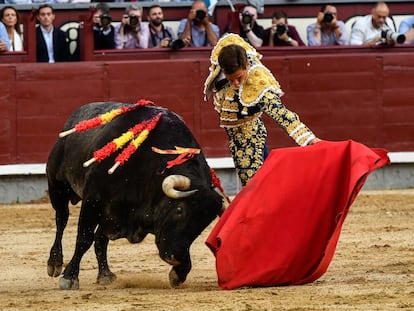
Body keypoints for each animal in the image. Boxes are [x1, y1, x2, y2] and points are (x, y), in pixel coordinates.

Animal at [47, 102, 225, 290]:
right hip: (57, 187)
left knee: (100, 238)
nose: (174, 257)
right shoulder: (93, 200)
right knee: (62, 220)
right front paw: (69, 277)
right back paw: (55, 263)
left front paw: (179, 273)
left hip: (108, 215)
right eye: (179, 210)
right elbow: (84, 238)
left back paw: (105, 274)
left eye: (204, 223)